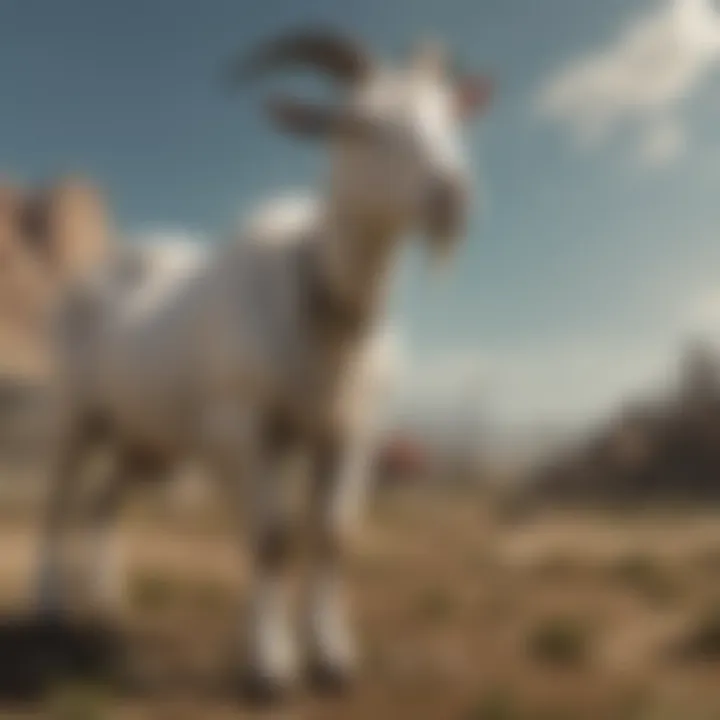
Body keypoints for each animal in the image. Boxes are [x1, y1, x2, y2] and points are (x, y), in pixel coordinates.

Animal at [36, 31, 492, 700]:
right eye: (358, 123)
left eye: (448, 116)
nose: (451, 195)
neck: (316, 303)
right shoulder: (245, 428)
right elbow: (272, 537)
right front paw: (268, 667)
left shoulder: (348, 434)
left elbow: (333, 535)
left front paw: (331, 658)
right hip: (73, 415)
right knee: (59, 499)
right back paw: (48, 609)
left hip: (146, 439)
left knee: (103, 503)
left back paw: (108, 609)